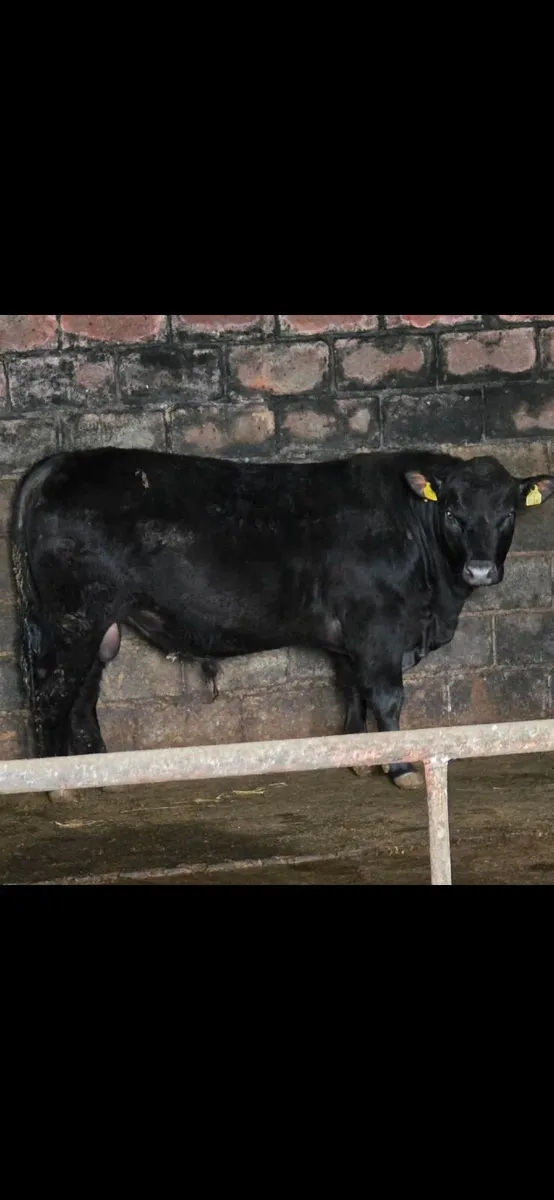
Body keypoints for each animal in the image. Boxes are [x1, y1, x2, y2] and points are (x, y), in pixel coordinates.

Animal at [9, 446, 554, 791]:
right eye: (453, 515)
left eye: (507, 514)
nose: (480, 569)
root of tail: (57, 462)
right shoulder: (377, 626)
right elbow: (386, 696)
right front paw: (398, 767)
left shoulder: (350, 638)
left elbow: (354, 690)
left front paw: (358, 759)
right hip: (74, 617)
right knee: (54, 692)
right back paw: (59, 787)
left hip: (100, 624)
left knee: (83, 693)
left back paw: (100, 773)